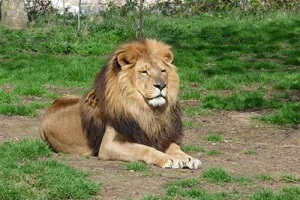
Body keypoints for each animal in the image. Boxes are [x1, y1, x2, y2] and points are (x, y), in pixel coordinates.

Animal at [40, 38, 202, 169]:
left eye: (163, 71)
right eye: (144, 72)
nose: (162, 85)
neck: (146, 110)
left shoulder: (159, 136)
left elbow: (175, 147)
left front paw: (188, 158)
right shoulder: (108, 145)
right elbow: (144, 149)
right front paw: (168, 159)